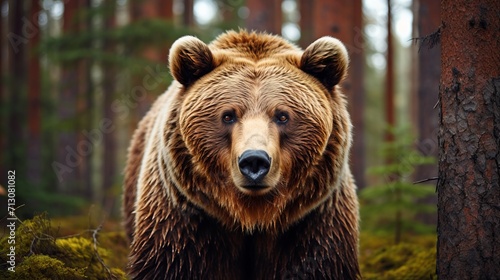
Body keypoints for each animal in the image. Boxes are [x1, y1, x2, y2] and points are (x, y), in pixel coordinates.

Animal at [124, 29, 360, 278]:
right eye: (228, 115)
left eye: (282, 116)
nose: (254, 161)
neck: (251, 214)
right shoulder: (183, 217)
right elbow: (174, 262)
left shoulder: (314, 221)